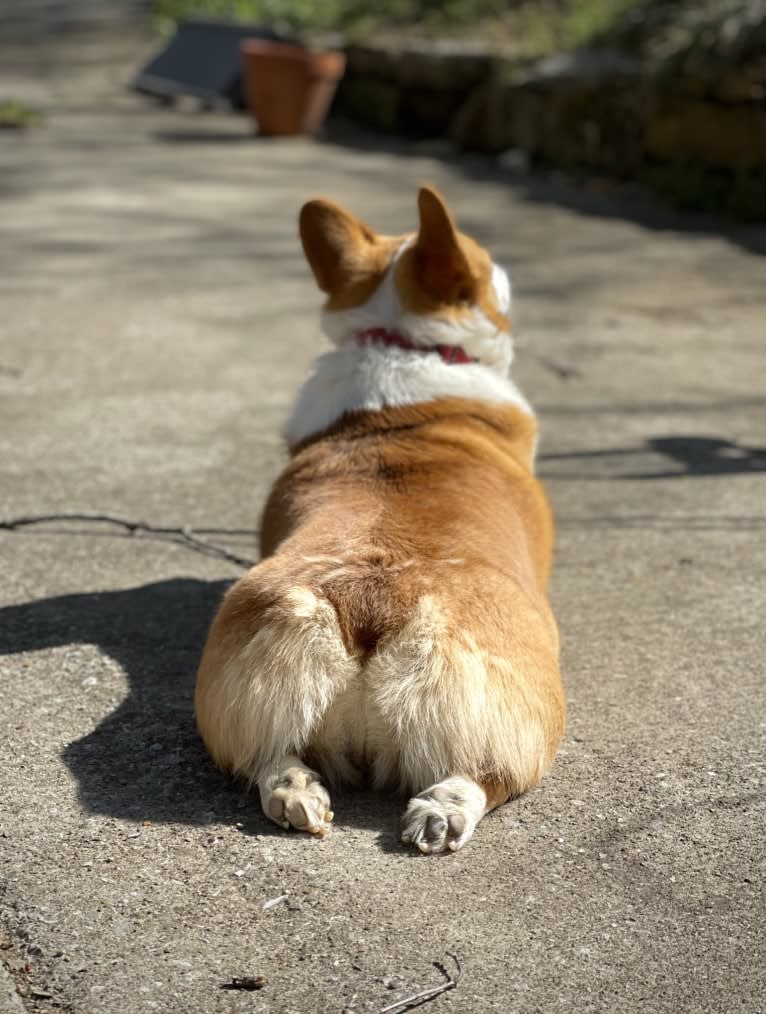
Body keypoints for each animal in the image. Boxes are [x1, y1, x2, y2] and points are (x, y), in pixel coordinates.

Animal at [194, 186, 568, 851]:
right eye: (483, 262)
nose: (505, 271)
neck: (400, 344)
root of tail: (369, 605)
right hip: (527, 714)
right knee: (486, 774)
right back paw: (445, 816)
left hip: (246, 688)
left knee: (269, 758)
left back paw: (299, 798)